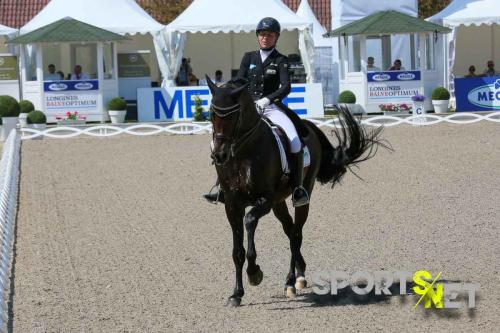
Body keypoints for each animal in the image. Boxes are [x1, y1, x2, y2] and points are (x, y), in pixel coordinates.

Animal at [205, 76, 384, 306]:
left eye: (234, 116)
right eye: (211, 114)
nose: (219, 155)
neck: (243, 153)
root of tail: (308, 126)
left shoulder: (264, 200)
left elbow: (250, 221)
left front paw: (254, 273)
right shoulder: (232, 205)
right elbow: (237, 252)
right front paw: (236, 294)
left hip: (301, 195)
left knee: (297, 233)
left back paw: (292, 281)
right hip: (279, 202)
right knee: (290, 231)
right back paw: (299, 274)